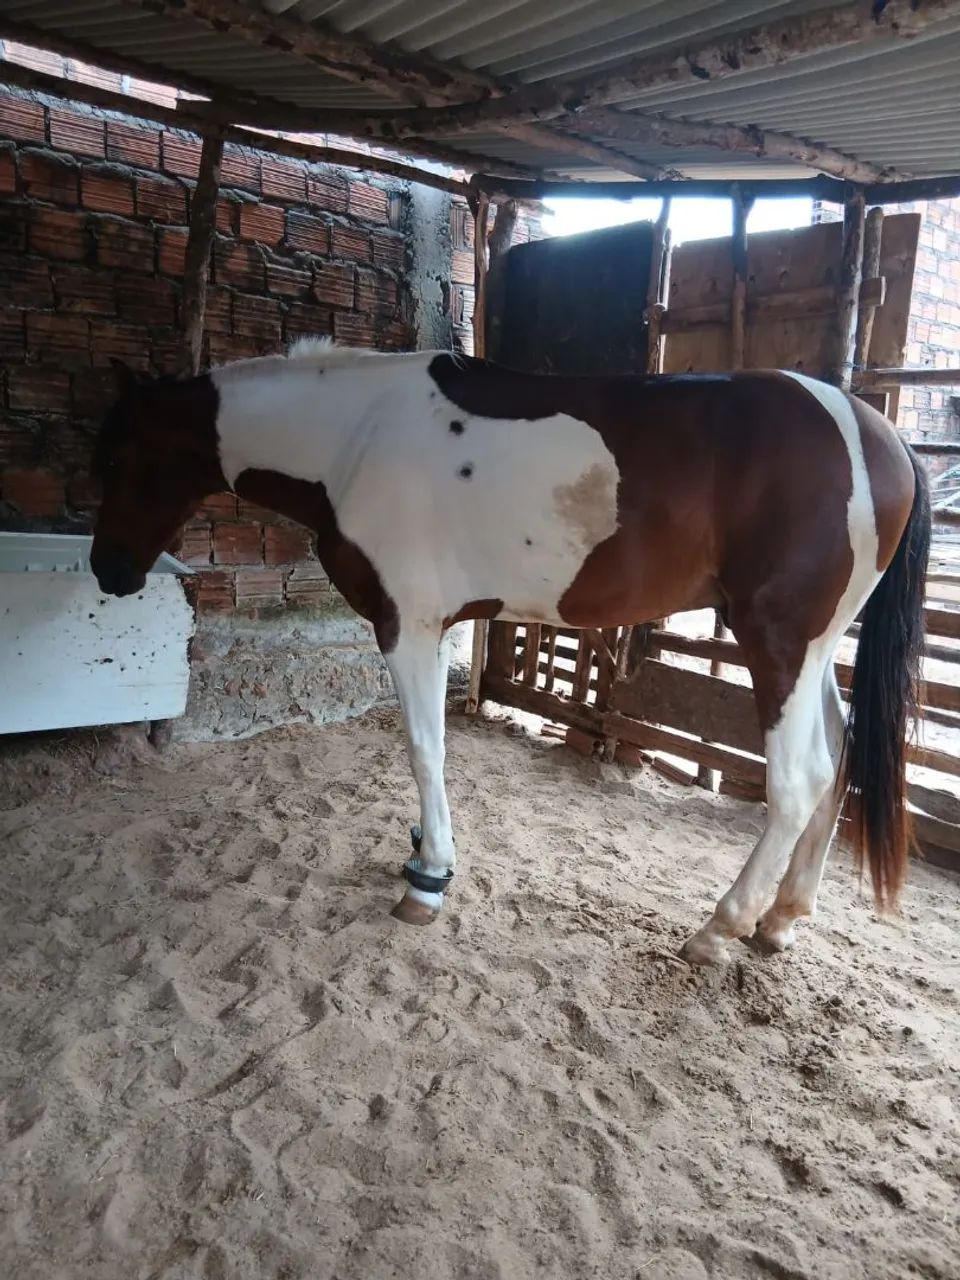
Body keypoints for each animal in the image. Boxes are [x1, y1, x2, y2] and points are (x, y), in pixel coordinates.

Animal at [90, 338, 930, 964]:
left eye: (120, 457)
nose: (108, 571)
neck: (356, 436)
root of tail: (876, 437)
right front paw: (424, 850)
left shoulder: (406, 623)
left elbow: (424, 747)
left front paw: (428, 878)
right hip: (816, 650)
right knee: (839, 760)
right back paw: (781, 919)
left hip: (777, 641)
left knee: (798, 780)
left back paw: (719, 928)